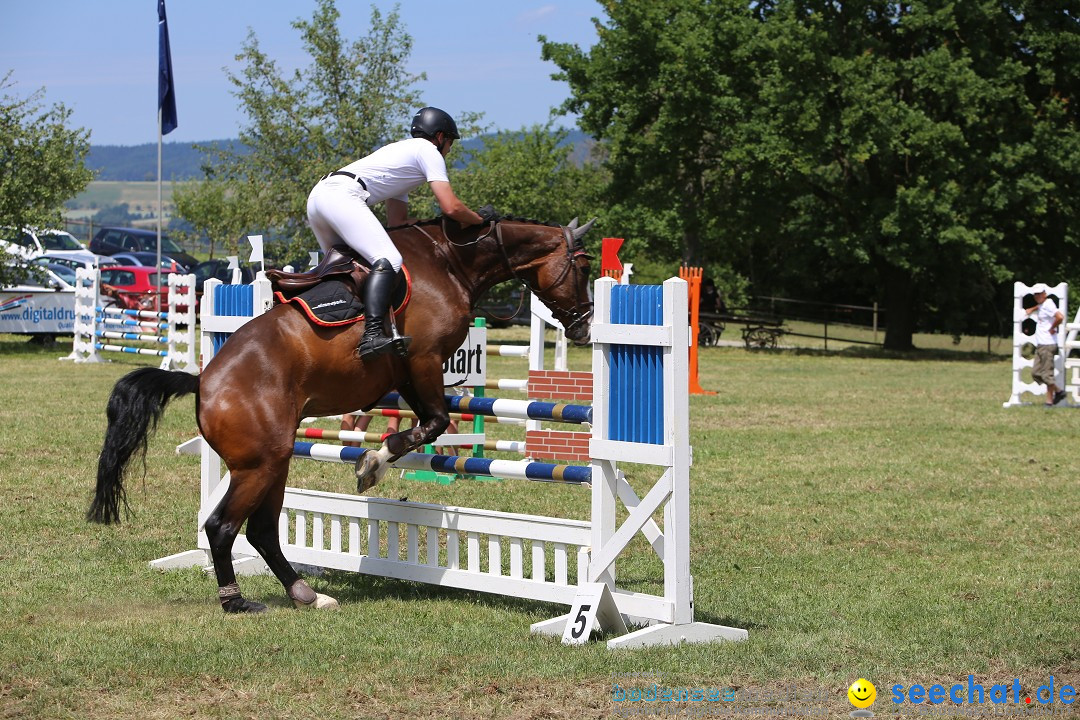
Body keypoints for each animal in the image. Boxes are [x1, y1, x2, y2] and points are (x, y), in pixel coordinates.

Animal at [90, 215, 600, 613]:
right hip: (260, 464)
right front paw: (372, 464)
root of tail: (204, 383)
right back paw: (236, 601)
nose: (585, 328)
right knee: (224, 527)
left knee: (262, 531)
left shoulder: (409, 372)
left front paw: (376, 460)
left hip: (274, 462)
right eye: (583, 266)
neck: (449, 261)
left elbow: (429, 423)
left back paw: (306, 594)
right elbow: (432, 423)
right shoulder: (424, 360)